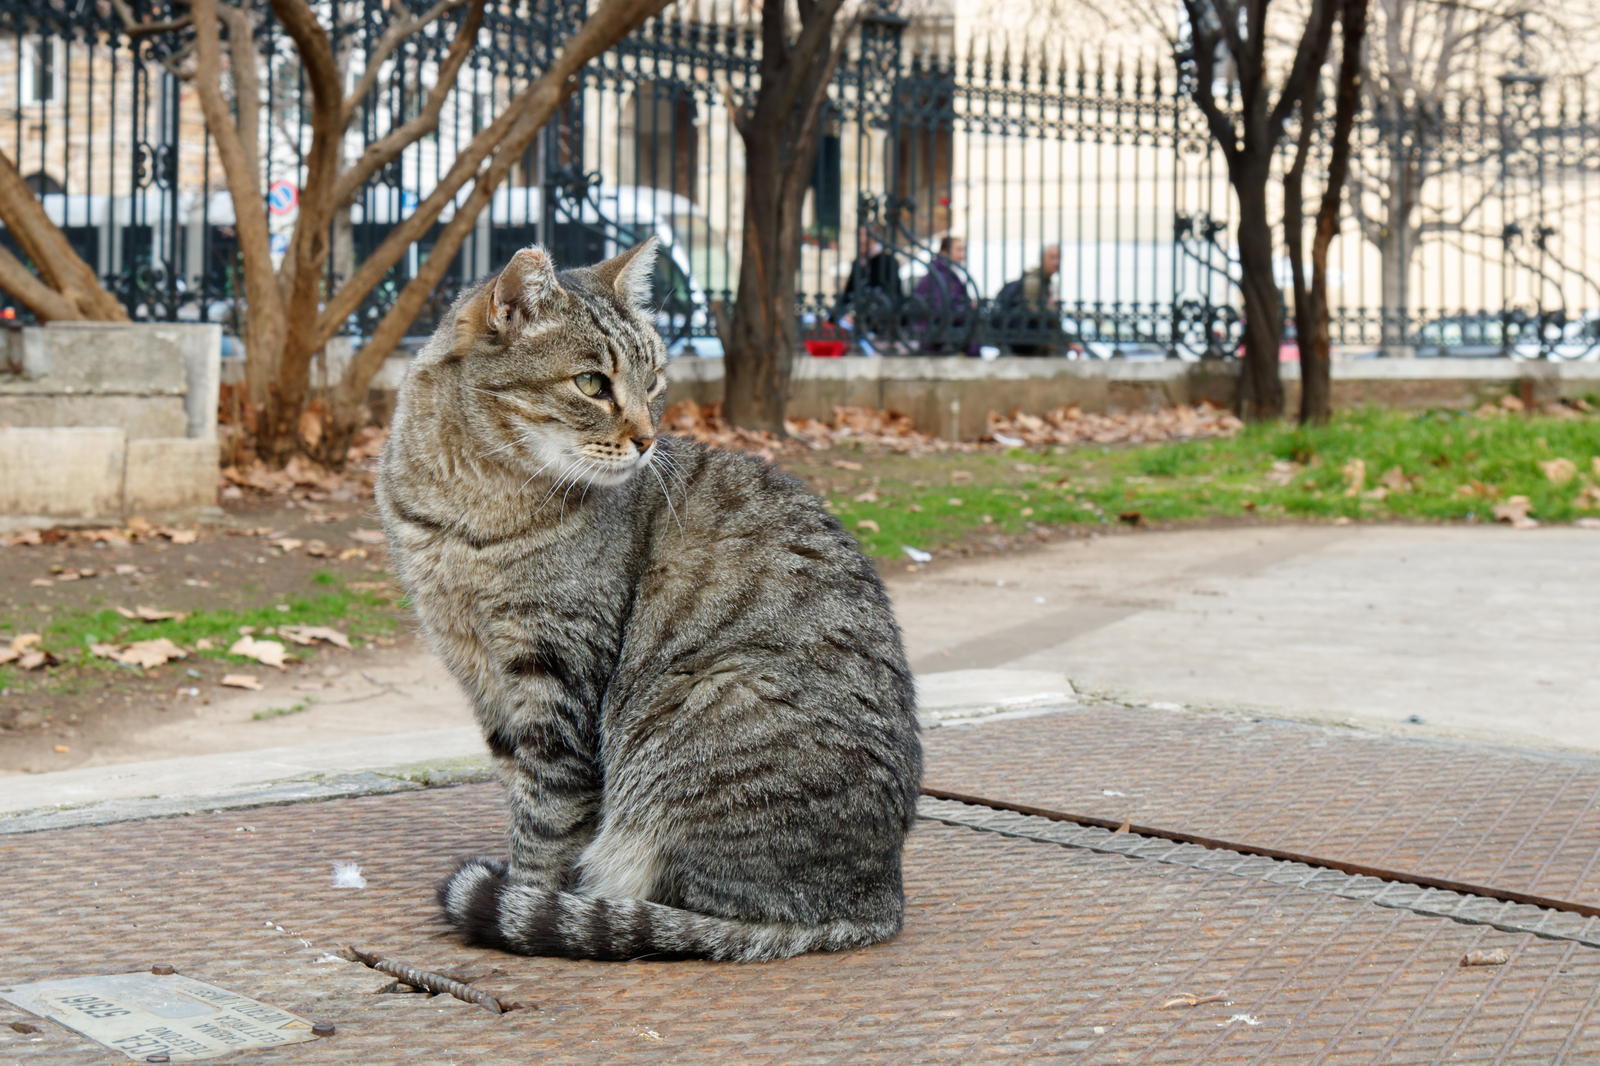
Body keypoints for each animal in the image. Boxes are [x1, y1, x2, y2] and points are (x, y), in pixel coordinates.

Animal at [374, 243, 921, 960]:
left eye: (654, 379)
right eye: (591, 384)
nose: (645, 439)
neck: (468, 510)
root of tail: (879, 897)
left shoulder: (558, 672)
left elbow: (548, 815)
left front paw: (528, 895)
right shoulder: (477, 671)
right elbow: (518, 784)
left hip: (702, 700)